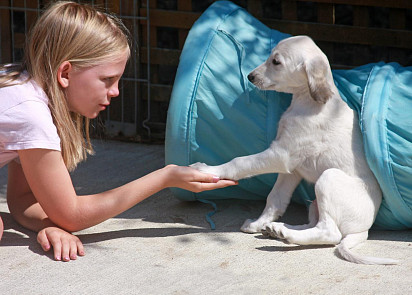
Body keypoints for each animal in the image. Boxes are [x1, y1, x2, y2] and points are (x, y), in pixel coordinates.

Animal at [192, 35, 398, 264]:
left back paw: (287, 234)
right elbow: (275, 198)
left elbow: (239, 162)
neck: (308, 102)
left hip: (328, 178)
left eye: (276, 62)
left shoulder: (280, 155)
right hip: (315, 202)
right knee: (313, 224)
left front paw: (206, 170)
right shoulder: (292, 169)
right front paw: (257, 223)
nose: (250, 76)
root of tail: (364, 230)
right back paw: (277, 229)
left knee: (329, 232)